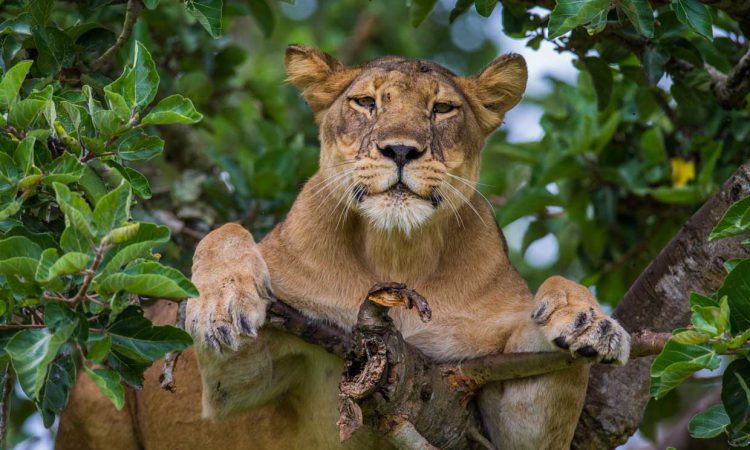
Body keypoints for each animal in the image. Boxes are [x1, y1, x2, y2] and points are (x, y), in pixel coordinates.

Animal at [57, 45, 630, 450]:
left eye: (443, 109)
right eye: (366, 102)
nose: (400, 149)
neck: (396, 250)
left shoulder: (491, 399)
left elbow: (547, 315)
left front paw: (589, 322)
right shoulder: (236, 384)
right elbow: (227, 232)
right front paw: (221, 303)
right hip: (90, 399)